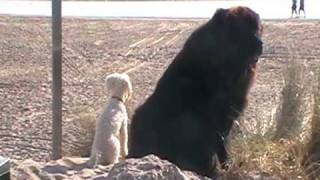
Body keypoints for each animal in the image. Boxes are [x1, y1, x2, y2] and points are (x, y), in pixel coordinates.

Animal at [127, 6, 262, 178]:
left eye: (258, 30)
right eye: (244, 29)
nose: (260, 43)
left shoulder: (229, 111)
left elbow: (222, 142)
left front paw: (226, 165)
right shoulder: (212, 114)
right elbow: (215, 141)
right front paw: (216, 169)